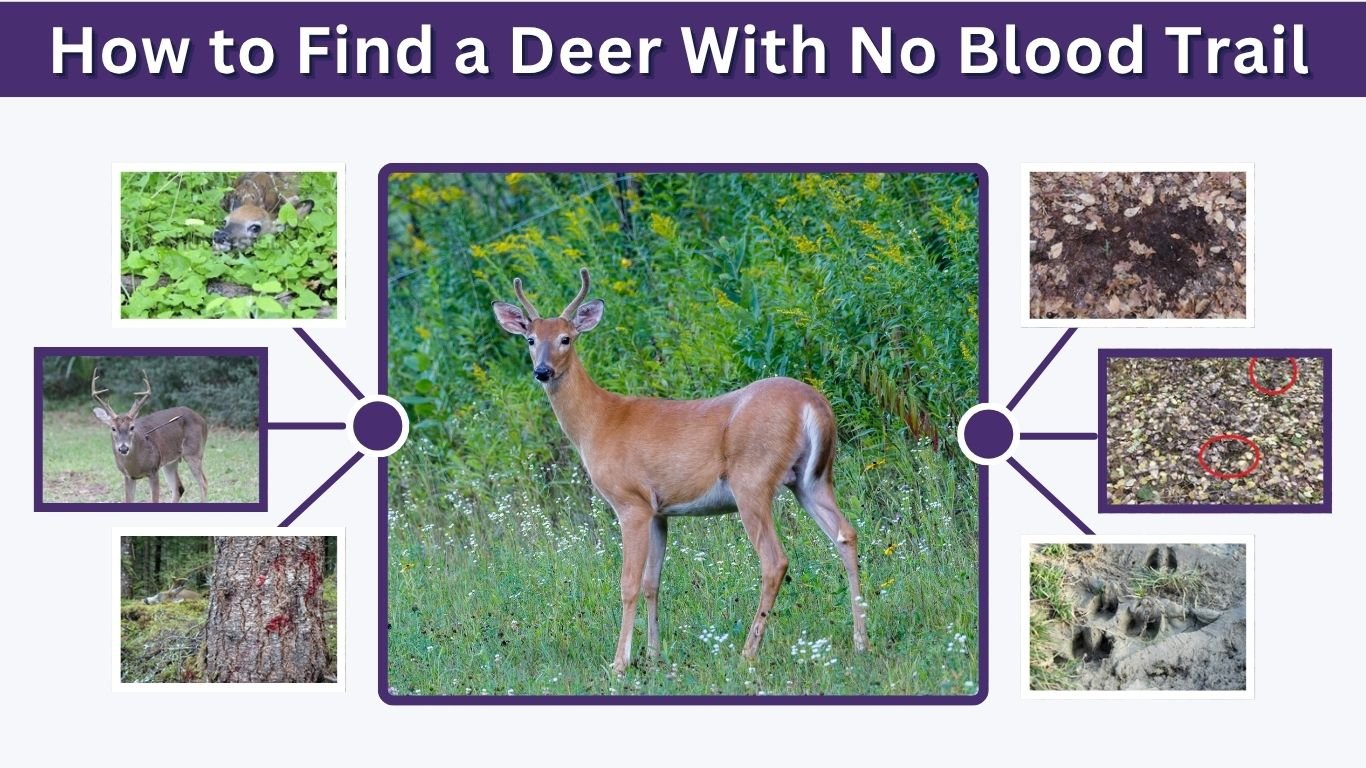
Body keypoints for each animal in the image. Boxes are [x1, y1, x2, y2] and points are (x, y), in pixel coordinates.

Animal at [91, 368, 209, 504]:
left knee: (203, 483)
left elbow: (154, 499)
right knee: (178, 488)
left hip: (194, 452)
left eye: (132, 427)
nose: (123, 448)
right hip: (170, 461)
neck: (135, 465)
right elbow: (128, 500)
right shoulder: (128, 476)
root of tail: (202, 419)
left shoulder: (153, 470)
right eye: (113, 428)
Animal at [493, 269, 868, 674]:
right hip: (812, 479)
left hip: (752, 479)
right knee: (845, 534)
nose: (542, 371)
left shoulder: (632, 502)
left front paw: (620, 663)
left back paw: (747, 652)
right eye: (531, 339)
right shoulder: (659, 511)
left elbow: (628, 583)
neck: (598, 422)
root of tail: (813, 405)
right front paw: (654, 654)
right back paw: (861, 640)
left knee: (775, 560)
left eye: (566, 338)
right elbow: (652, 582)